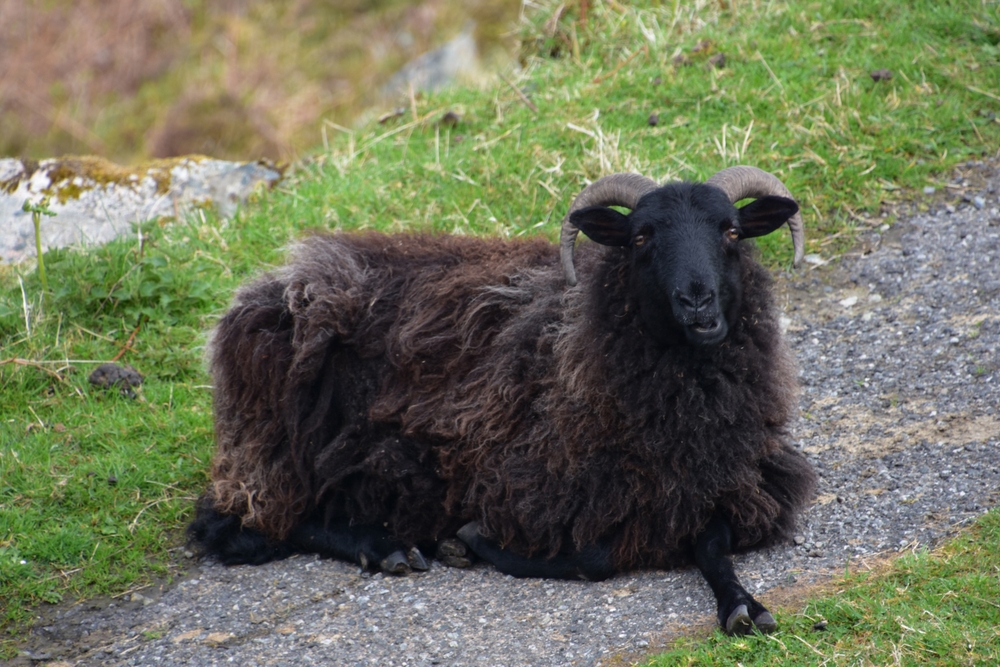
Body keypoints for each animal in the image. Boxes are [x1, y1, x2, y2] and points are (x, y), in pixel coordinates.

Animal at [188, 165, 817, 635]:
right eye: (641, 238)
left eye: (731, 231)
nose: (696, 300)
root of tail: (280, 281)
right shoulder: (524, 486)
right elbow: (595, 558)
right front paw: (470, 541)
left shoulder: (731, 483)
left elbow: (714, 543)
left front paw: (743, 605)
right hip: (278, 444)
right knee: (243, 524)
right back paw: (384, 545)